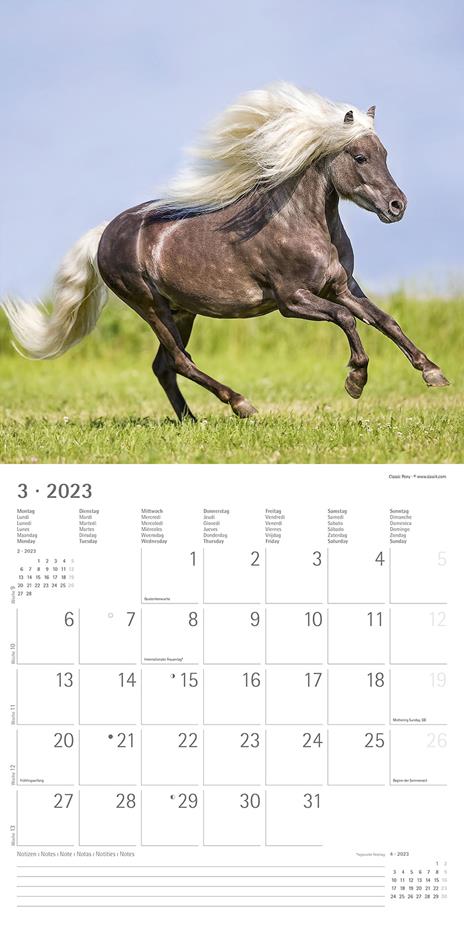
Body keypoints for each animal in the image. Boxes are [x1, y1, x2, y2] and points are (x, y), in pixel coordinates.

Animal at [2, 82, 449, 421]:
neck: (300, 224)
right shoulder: (292, 300)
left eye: (385, 154)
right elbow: (347, 321)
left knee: (164, 366)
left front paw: (433, 372)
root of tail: (105, 233)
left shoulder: (341, 286)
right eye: (359, 156)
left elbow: (385, 321)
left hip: (182, 310)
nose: (398, 206)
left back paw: (191, 421)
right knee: (181, 361)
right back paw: (240, 404)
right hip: (149, 306)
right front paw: (355, 381)